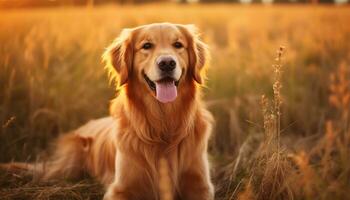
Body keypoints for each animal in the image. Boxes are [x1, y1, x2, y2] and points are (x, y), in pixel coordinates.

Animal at [2, 22, 213, 199]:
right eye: (146, 46)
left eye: (178, 45)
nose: (167, 63)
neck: (163, 126)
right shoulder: (121, 188)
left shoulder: (200, 185)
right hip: (69, 166)